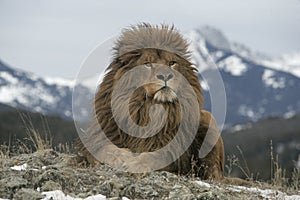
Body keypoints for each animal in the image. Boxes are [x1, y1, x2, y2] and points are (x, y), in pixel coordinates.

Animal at [75, 23, 225, 180]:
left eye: (172, 63)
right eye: (147, 64)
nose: (166, 75)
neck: (145, 110)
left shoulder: (174, 151)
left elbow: (155, 156)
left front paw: (136, 164)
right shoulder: (95, 141)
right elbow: (104, 149)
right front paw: (122, 156)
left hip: (208, 119)